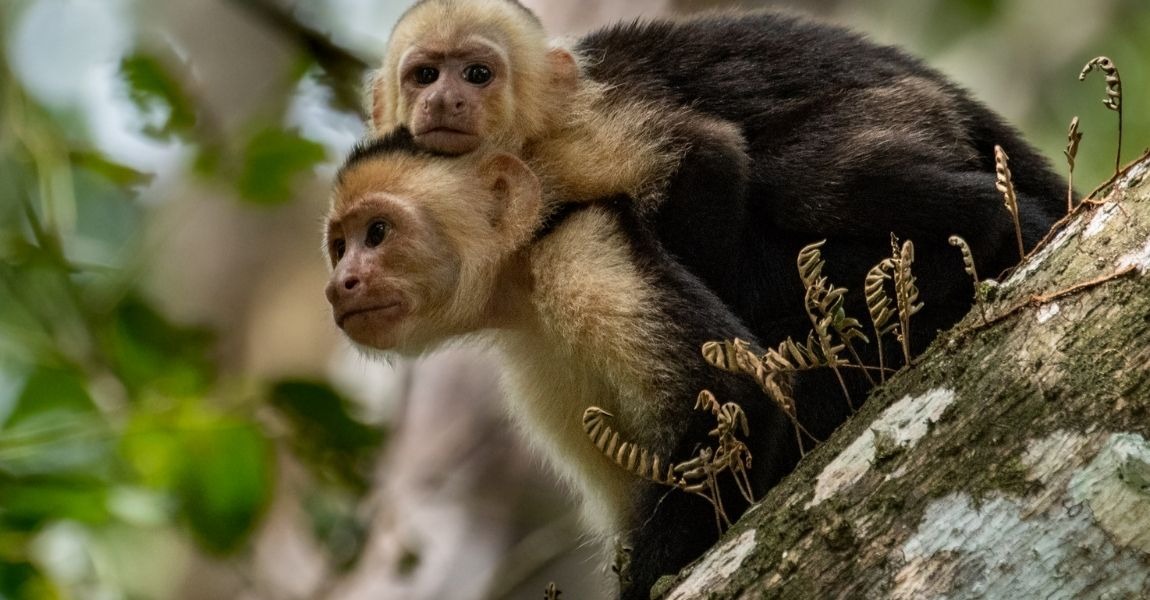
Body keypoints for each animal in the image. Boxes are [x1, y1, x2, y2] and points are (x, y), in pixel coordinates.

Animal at [324, 128, 800, 599]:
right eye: (340, 247)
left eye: (377, 232)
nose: (338, 286)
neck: (520, 280)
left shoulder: (580, 251)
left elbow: (735, 396)